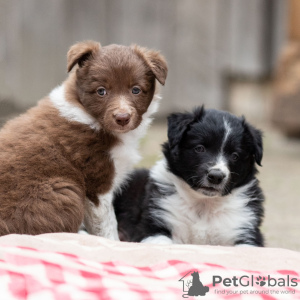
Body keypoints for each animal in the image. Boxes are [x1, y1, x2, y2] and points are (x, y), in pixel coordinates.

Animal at [0, 39, 168, 238]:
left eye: (136, 90)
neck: (88, 114)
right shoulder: (98, 184)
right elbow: (107, 226)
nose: (122, 118)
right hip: (65, 192)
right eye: (101, 91)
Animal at [113, 107, 264, 246]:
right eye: (200, 148)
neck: (204, 204)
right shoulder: (151, 226)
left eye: (235, 156)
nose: (216, 176)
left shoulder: (246, 231)